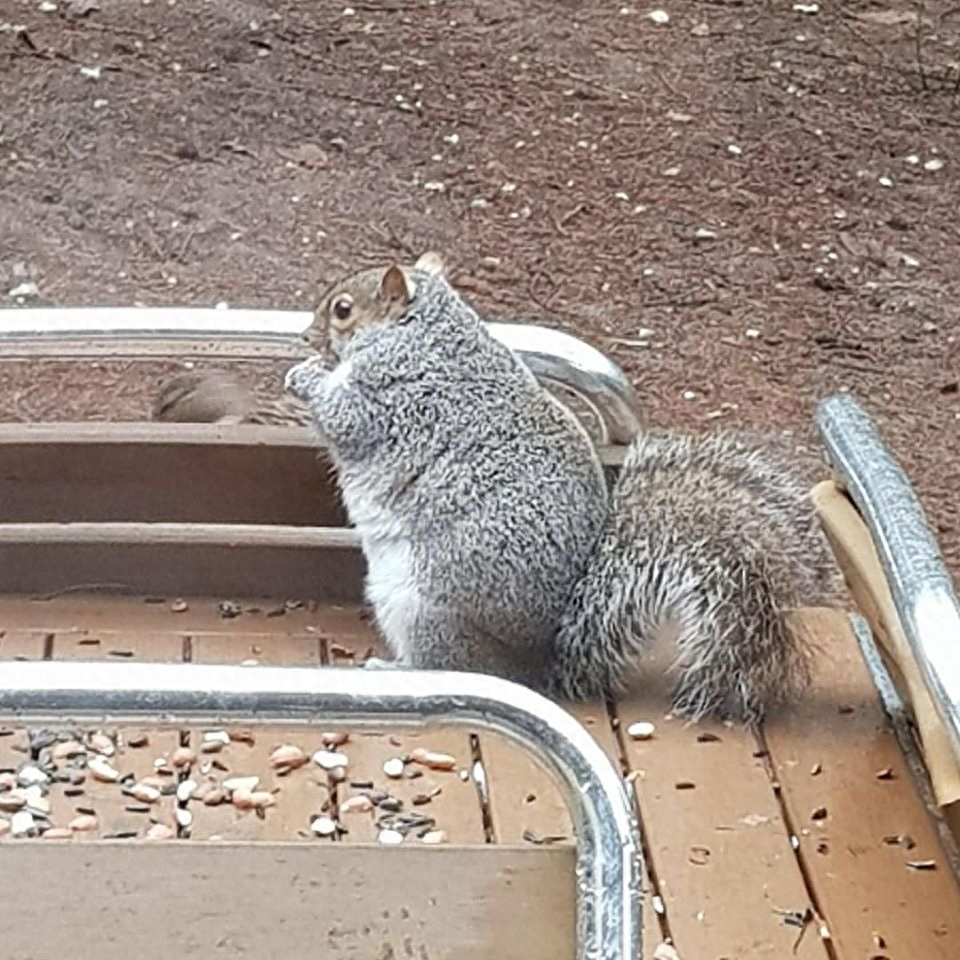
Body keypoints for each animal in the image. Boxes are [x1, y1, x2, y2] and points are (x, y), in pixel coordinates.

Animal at [284, 255, 840, 720]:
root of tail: (539, 664)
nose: (307, 335)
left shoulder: (397, 398)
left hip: (422, 609)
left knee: (457, 666)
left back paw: (397, 669)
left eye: (342, 309)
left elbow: (345, 418)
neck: (422, 331)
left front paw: (305, 375)